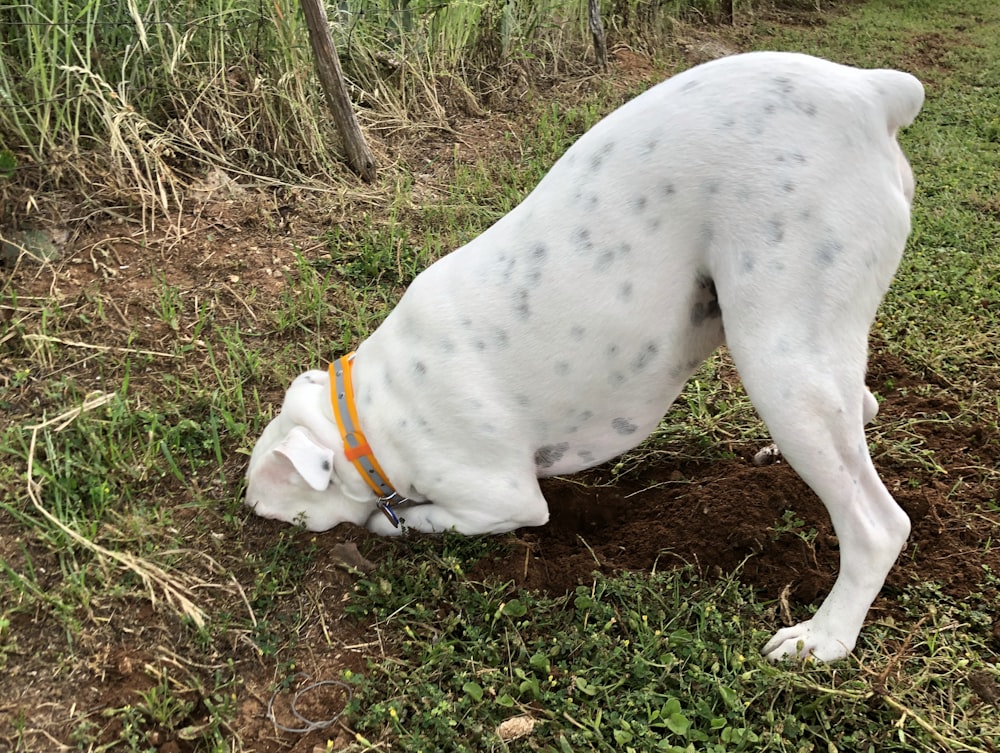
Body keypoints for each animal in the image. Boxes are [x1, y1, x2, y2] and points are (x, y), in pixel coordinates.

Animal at [246, 53, 924, 660]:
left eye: (267, 499)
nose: (247, 509)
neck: (366, 412)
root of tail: (871, 91)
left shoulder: (503, 499)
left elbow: (404, 519)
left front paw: (390, 523)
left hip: (778, 355)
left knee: (876, 525)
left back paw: (824, 637)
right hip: (808, 355)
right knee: (859, 407)